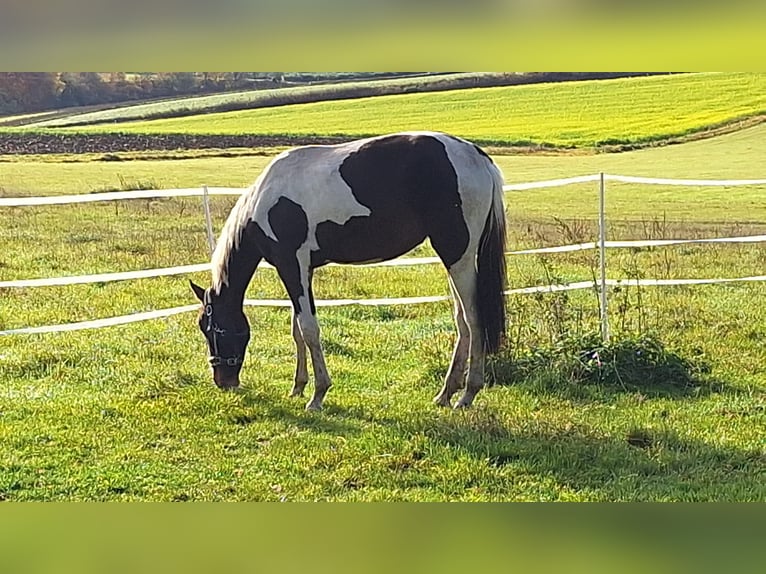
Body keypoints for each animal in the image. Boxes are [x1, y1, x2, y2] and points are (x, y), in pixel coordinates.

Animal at [190, 131, 507, 410]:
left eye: (211, 328)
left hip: (457, 255)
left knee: (473, 319)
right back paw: (445, 394)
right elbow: (297, 329)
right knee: (461, 321)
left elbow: (309, 329)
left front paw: (317, 395)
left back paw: (467, 394)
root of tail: (477, 156)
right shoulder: (302, 269)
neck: (265, 201)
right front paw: (298, 387)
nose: (223, 381)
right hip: (454, 259)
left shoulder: (291, 265)